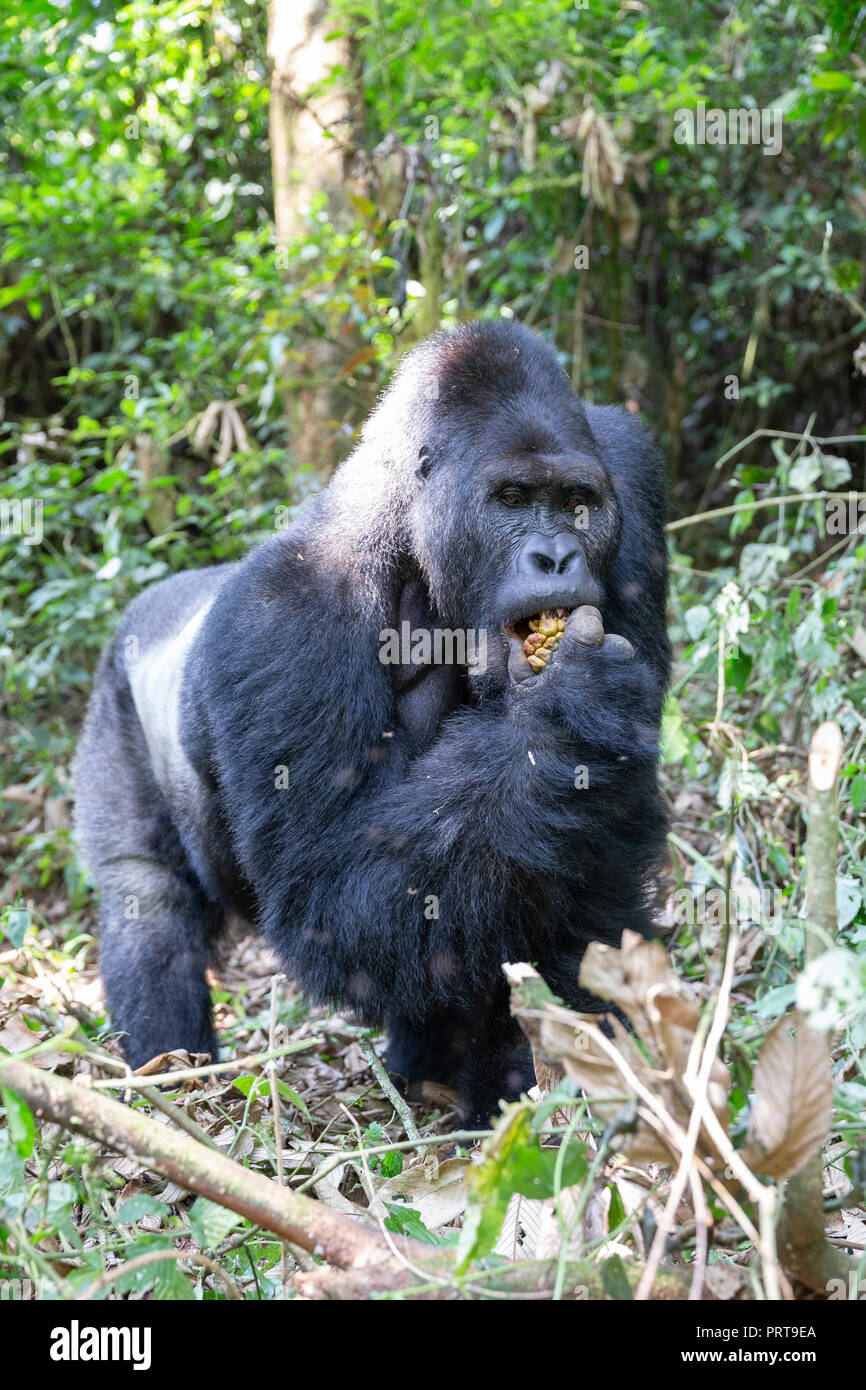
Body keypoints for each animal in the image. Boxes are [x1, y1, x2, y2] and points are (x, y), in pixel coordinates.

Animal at [74, 319, 670, 1123]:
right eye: (513, 498)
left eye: (578, 502)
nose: (556, 556)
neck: (413, 532)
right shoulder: (285, 616)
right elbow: (329, 895)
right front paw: (568, 718)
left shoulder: (631, 475)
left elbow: (596, 843)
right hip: (113, 699)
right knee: (147, 898)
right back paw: (176, 1080)